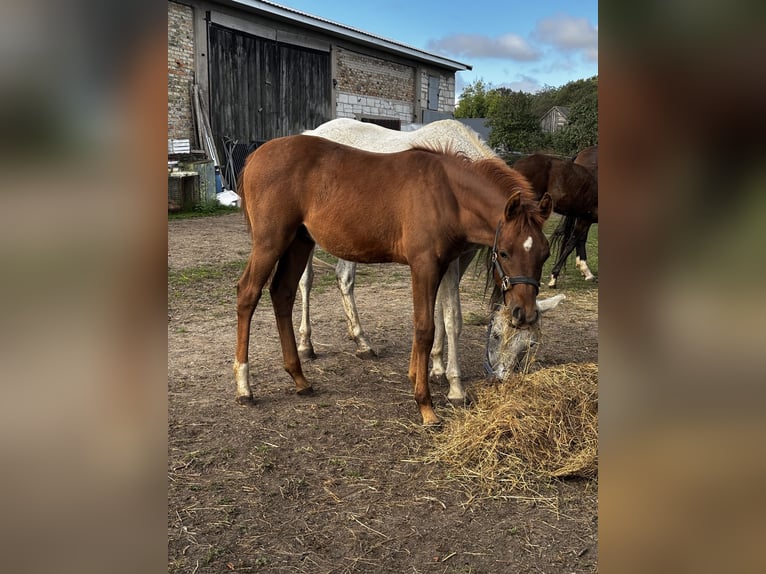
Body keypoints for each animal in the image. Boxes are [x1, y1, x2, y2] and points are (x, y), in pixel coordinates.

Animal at [234, 134, 552, 425]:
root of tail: (255, 156)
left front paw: (424, 378)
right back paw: (244, 386)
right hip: (270, 242)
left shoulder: (442, 266)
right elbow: (425, 327)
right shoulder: (424, 265)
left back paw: (299, 378)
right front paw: (426, 405)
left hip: (299, 241)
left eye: (545, 254)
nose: (524, 313)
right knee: (248, 293)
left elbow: (437, 320)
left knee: (282, 293)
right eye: (504, 252)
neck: (447, 193)